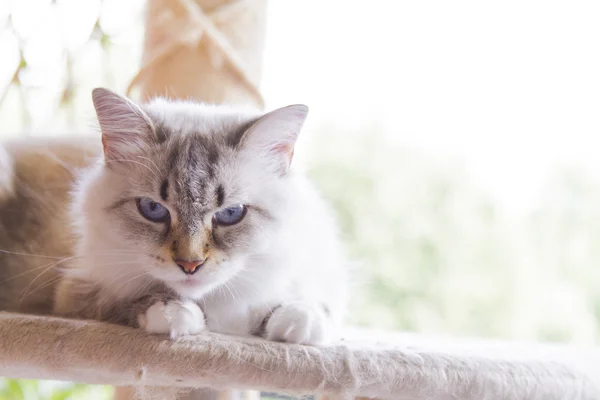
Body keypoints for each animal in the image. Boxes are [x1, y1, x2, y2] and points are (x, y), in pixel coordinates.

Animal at [0, 89, 346, 346]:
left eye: (230, 214)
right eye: (153, 210)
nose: (190, 265)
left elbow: (310, 303)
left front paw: (300, 319)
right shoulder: (75, 289)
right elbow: (129, 300)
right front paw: (174, 313)